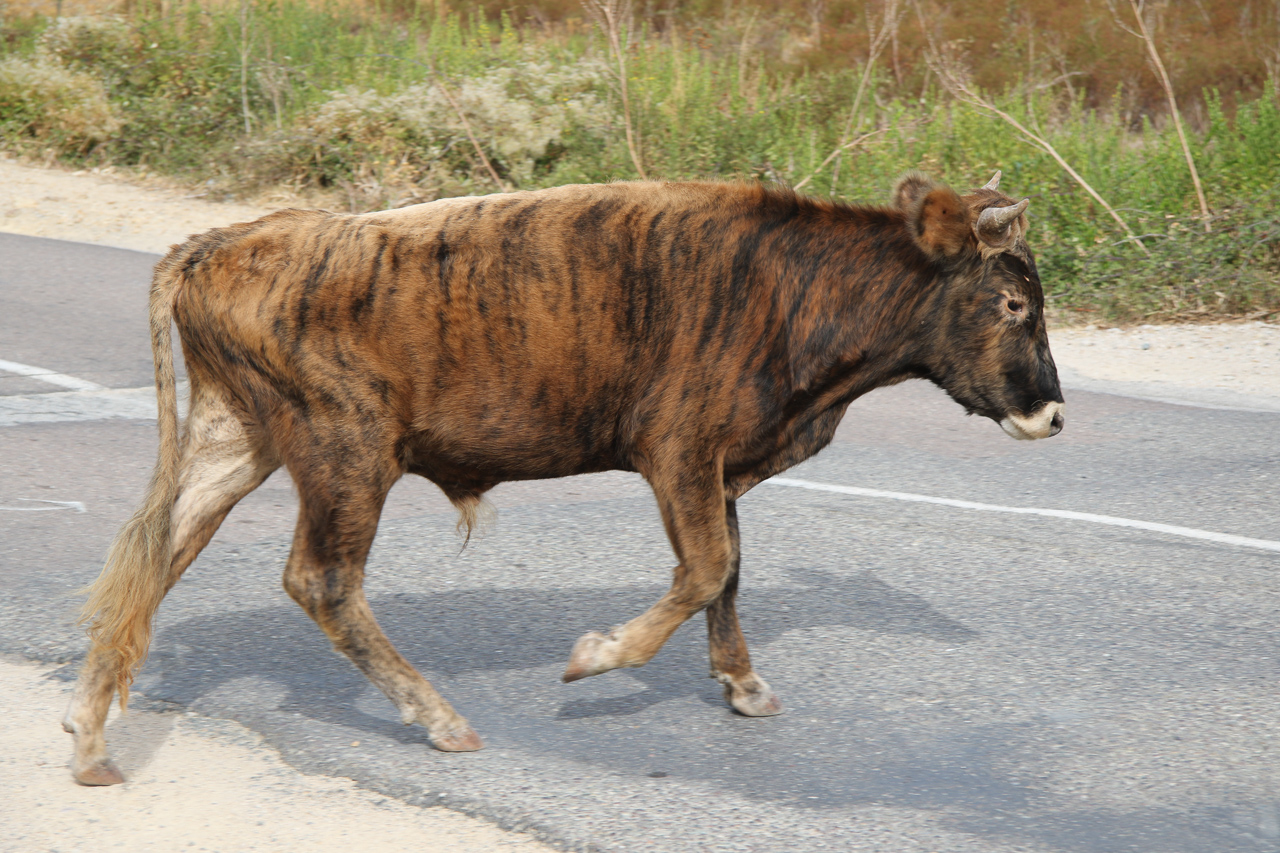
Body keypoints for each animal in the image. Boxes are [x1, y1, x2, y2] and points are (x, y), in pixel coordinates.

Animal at [64, 171, 1063, 785]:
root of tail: (223, 240)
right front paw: (597, 655)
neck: (790, 287)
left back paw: (88, 734)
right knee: (322, 580)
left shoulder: (719, 472)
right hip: (347, 453)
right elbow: (705, 567)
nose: (1054, 413)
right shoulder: (679, 453)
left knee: (151, 556)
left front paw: (743, 684)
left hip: (237, 443)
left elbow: (728, 573)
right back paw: (440, 715)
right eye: (1014, 301)